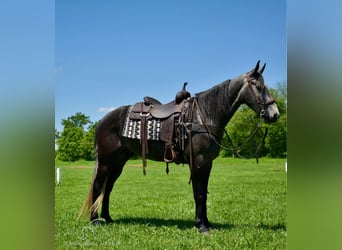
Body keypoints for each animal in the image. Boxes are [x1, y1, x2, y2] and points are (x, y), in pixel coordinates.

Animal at [79, 60, 280, 232]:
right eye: (259, 86)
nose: (275, 114)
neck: (204, 115)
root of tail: (103, 120)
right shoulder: (198, 162)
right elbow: (199, 194)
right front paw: (201, 226)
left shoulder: (207, 163)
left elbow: (203, 193)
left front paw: (206, 223)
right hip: (106, 161)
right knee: (98, 185)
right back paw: (95, 220)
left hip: (119, 161)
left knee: (108, 188)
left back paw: (108, 218)